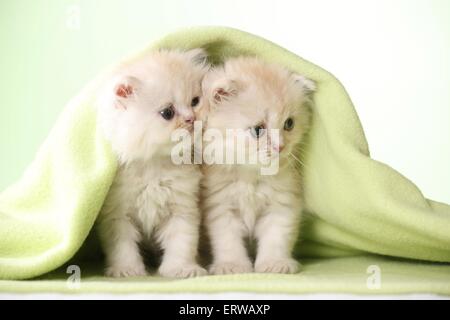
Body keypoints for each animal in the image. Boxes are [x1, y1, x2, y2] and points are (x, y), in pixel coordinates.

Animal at [96, 48, 209, 278]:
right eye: (167, 113)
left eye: (195, 101)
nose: (191, 119)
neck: (154, 165)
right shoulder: (117, 215)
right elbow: (122, 247)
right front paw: (127, 270)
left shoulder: (182, 208)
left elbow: (182, 243)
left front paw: (181, 269)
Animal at [200, 57, 316, 276]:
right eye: (257, 130)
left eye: (289, 124)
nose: (280, 147)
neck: (251, 176)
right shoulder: (220, 206)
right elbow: (228, 242)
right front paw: (232, 266)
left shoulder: (282, 204)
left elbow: (276, 239)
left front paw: (275, 264)